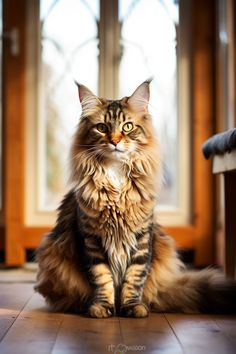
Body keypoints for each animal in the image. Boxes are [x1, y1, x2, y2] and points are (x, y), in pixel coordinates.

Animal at [35, 80, 236, 318]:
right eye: (102, 128)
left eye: (127, 127)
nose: (114, 141)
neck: (115, 176)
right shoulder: (91, 239)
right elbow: (102, 277)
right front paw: (103, 307)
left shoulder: (141, 238)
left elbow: (134, 277)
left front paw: (132, 307)